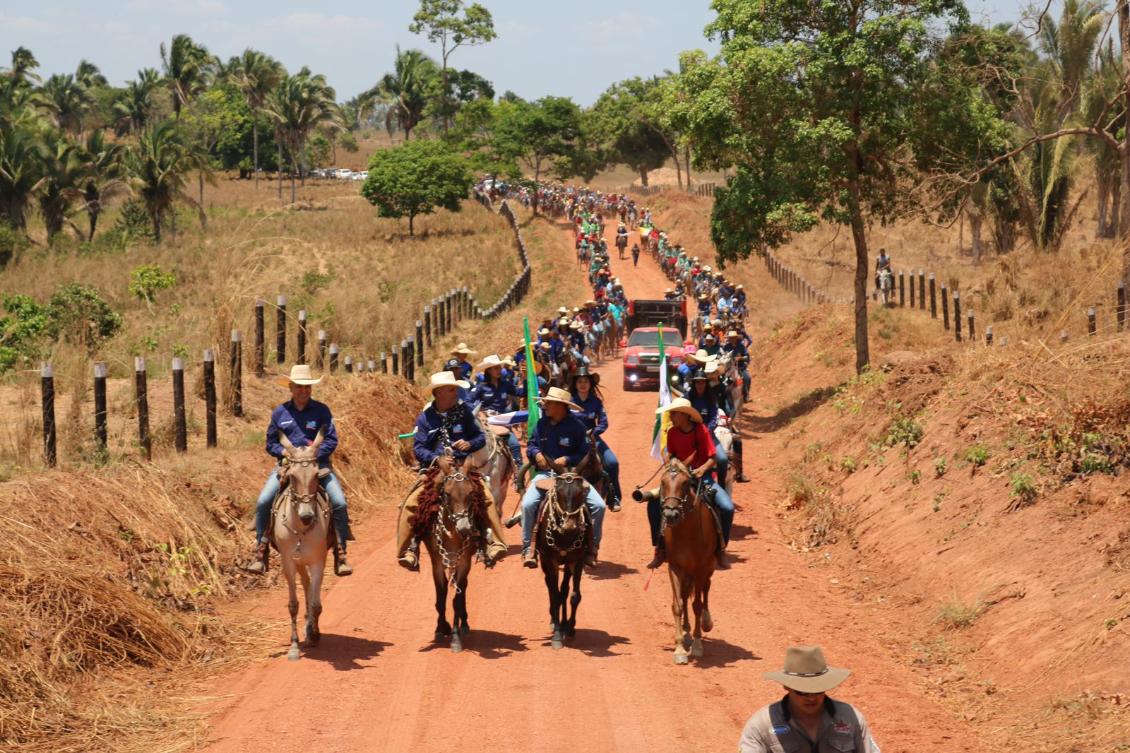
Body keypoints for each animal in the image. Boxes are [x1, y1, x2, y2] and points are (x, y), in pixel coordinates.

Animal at [270, 427, 329, 655]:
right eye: (292, 477)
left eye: (316, 475)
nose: (306, 516)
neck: (301, 530)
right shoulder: (288, 561)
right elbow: (293, 604)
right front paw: (294, 644)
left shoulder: (318, 560)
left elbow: (315, 603)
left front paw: (314, 633)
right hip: (298, 562)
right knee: (305, 584)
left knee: (310, 588)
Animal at [415, 463, 485, 651]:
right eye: (447, 493)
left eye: (471, 493)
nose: (465, 528)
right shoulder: (437, 563)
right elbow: (441, 597)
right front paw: (440, 628)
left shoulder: (464, 562)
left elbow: (457, 600)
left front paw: (455, 637)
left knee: (464, 589)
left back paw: (464, 624)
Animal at [535, 470, 596, 646]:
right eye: (559, 492)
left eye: (581, 492)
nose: (569, 526)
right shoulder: (551, 561)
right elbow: (555, 594)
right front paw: (556, 635)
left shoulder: (577, 560)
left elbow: (573, 595)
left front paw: (569, 628)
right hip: (544, 560)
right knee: (550, 586)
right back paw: (554, 622)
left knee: (564, 589)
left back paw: (563, 624)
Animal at [659, 456, 718, 664]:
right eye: (663, 482)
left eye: (685, 483)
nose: (670, 514)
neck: (686, 531)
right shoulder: (675, 566)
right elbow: (677, 605)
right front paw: (679, 649)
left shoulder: (700, 568)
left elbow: (697, 605)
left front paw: (697, 645)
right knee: (685, 595)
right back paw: (685, 631)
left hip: (708, 567)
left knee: (706, 588)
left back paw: (706, 622)